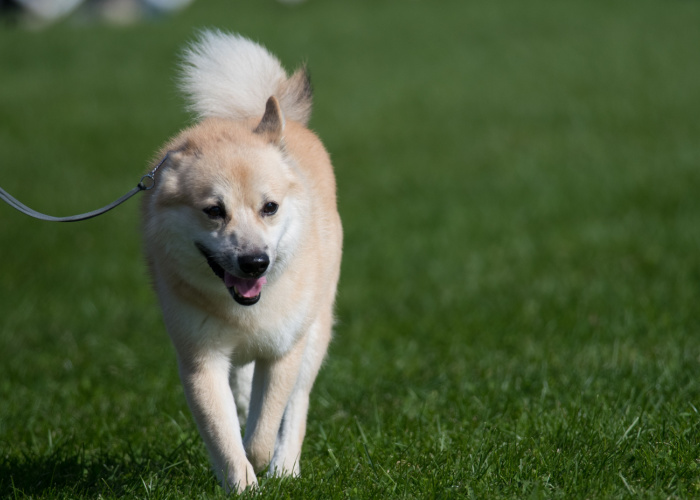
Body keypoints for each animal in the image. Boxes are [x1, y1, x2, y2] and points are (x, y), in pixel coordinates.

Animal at [141, 32, 344, 492]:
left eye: (270, 207)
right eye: (214, 211)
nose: (255, 262)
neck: (244, 310)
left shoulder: (284, 352)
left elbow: (264, 430)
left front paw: (265, 464)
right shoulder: (200, 360)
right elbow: (223, 435)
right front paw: (241, 485)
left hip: (315, 331)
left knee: (298, 403)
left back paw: (287, 467)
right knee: (243, 389)